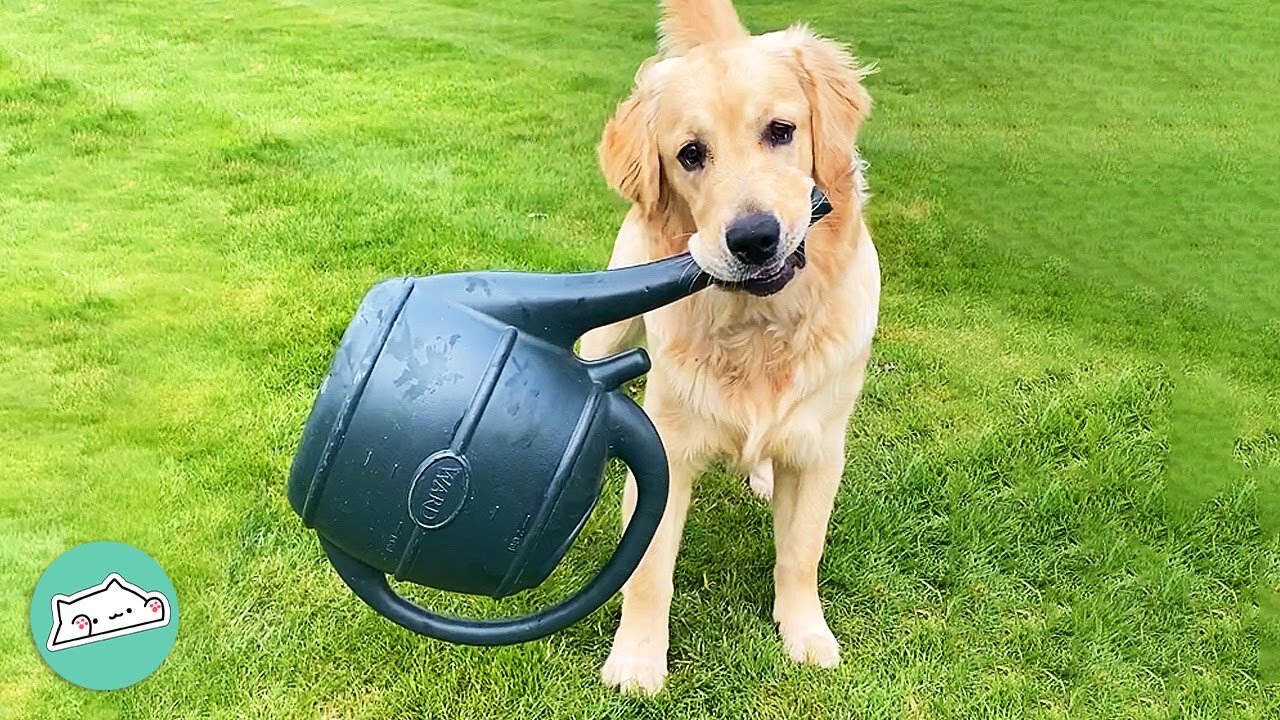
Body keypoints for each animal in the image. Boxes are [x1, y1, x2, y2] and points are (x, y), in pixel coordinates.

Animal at [581, 0, 880, 696]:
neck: (758, 328)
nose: (754, 239)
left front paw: (805, 634)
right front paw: (636, 660)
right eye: (690, 154)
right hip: (606, 325)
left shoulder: (821, 449)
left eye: (781, 131)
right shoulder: (668, 450)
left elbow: (801, 555)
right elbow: (648, 572)